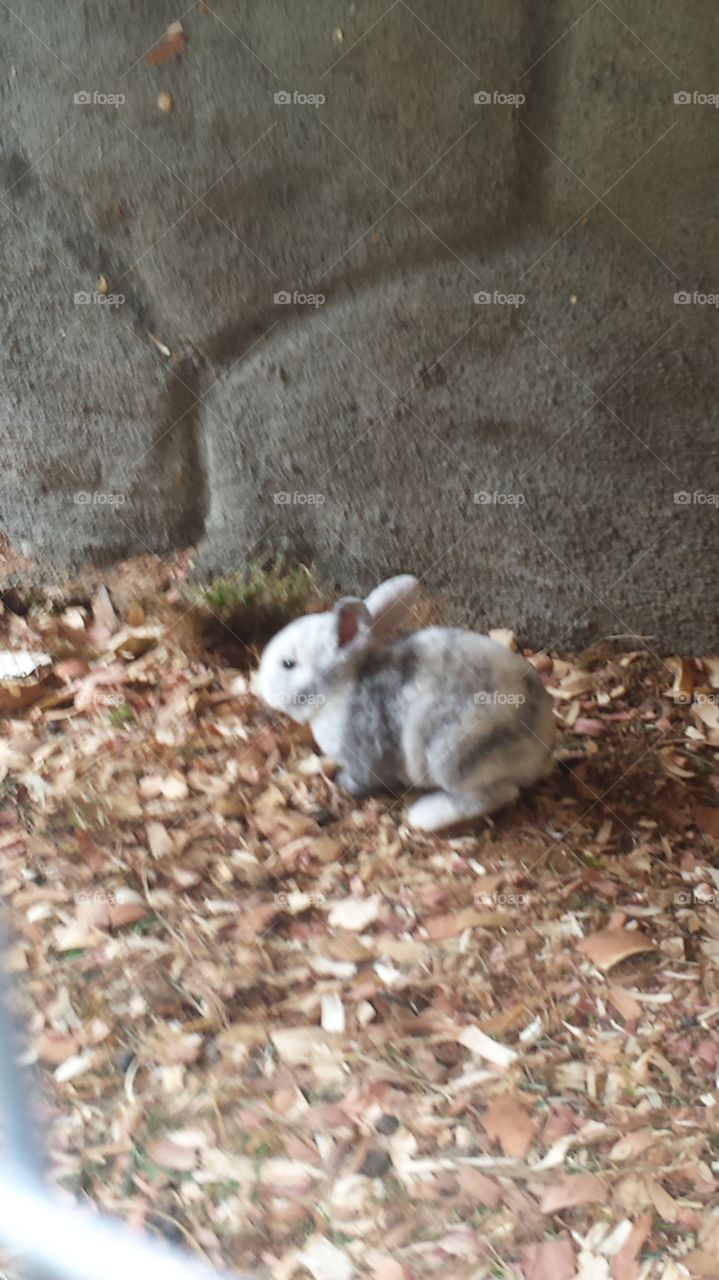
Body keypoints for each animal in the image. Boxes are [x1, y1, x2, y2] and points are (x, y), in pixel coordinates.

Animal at [256, 575, 556, 831]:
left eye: (288, 664)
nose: (261, 687)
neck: (342, 686)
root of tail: (541, 747)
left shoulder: (365, 753)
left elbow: (362, 779)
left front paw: (343, 784)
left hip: (455, 755)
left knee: (496, 794)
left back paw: (424, 816)